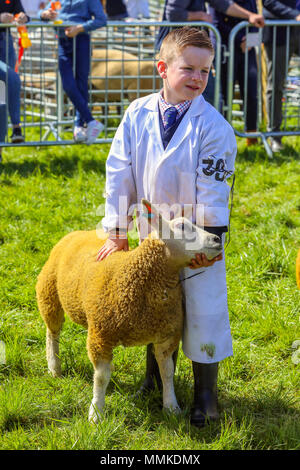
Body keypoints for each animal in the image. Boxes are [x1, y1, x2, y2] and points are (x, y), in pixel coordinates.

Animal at [35, 198, 223, 422]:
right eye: (182, 226)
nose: (217, 239)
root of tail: (76, 233)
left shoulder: (166, 335)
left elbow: (167, 371)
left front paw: (171, 407)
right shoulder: (101, 335)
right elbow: (101, 377)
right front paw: (96, 413)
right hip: (48, 293)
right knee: (52, 332)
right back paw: (54, 366)